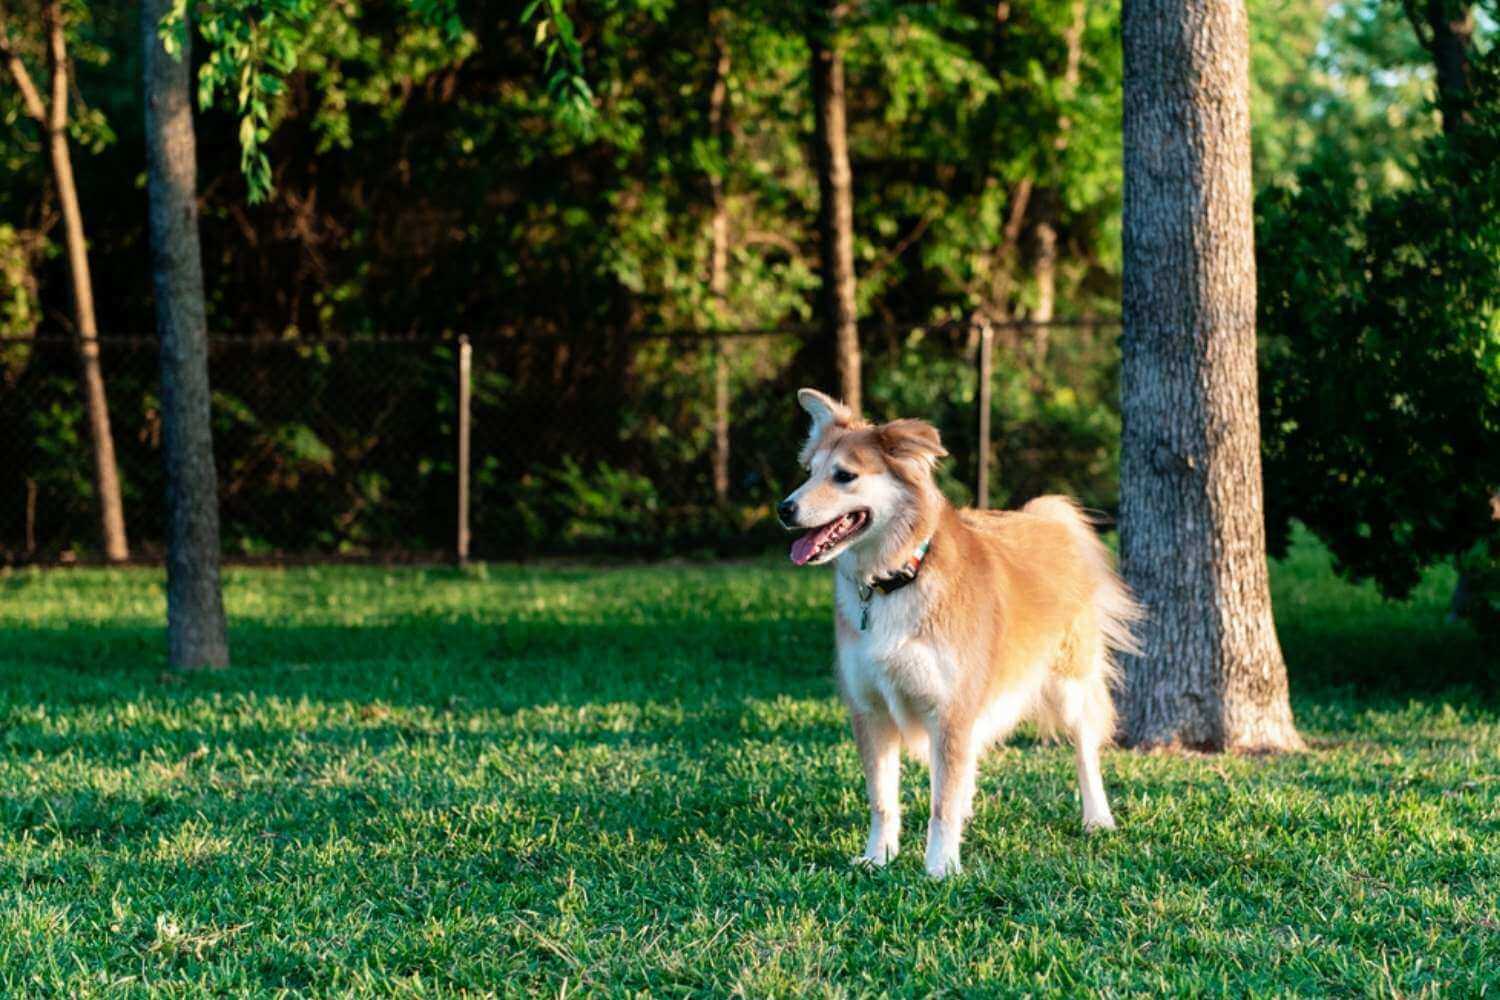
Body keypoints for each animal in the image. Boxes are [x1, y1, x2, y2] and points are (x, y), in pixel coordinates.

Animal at [780, 389, 1140, 875]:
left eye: (844, 476)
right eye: (809, 471)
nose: (785, 509)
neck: (896, 579)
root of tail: (1047, 519)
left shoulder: (950, 708)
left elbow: (942, 801)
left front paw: (940, 867)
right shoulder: (871, 710)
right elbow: (883, 799)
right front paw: (879, 856)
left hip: (1070, 684)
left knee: (1085, 749)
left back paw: (1097, 817)